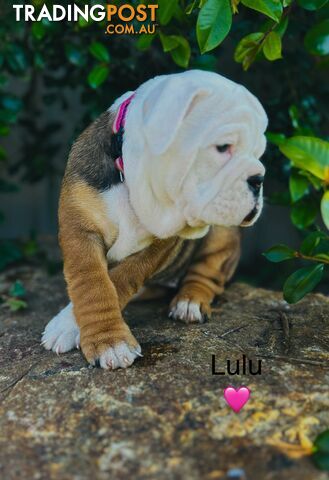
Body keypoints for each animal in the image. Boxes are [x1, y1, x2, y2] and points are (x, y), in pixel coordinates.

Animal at [41, 70, 266, 372]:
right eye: (222, 148)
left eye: (259, 153)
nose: (258, 179)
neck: (132, 183)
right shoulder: (80, 228)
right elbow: (92, 284)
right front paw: (102, 337)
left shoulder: (161, 245)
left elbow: (121, 280)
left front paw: (96, 335)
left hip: (222, 235)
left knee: (208, 272)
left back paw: (189, 301)